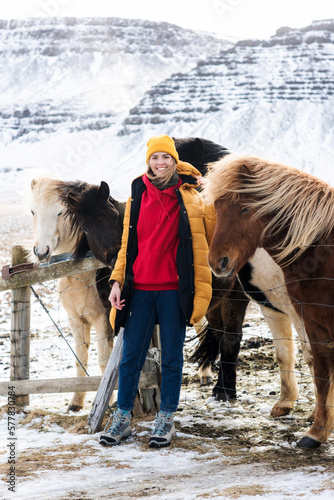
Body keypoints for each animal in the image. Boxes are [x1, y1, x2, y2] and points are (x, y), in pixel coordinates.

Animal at [205, 153, 334, 450]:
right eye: (217, 206)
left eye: (244, 209)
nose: (218, 263)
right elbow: (292, 356)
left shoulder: (309, 317)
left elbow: (318, 366)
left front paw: (316, 431)